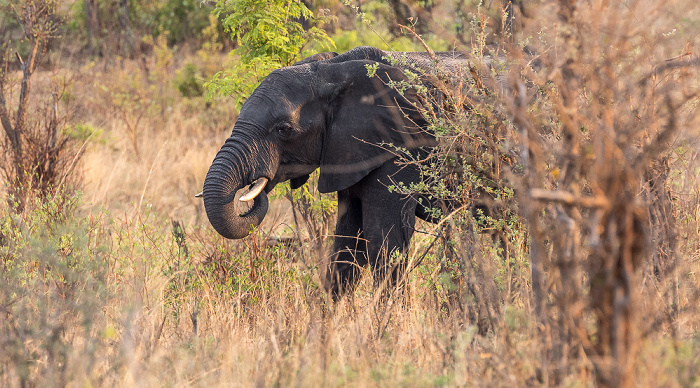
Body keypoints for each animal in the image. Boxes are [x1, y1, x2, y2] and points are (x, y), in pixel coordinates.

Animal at [200, 45, 470, 296]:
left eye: (284, 129)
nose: (254, 189)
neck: (331, 70)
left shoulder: (404, 145)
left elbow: (383, 238)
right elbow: (347, 240)